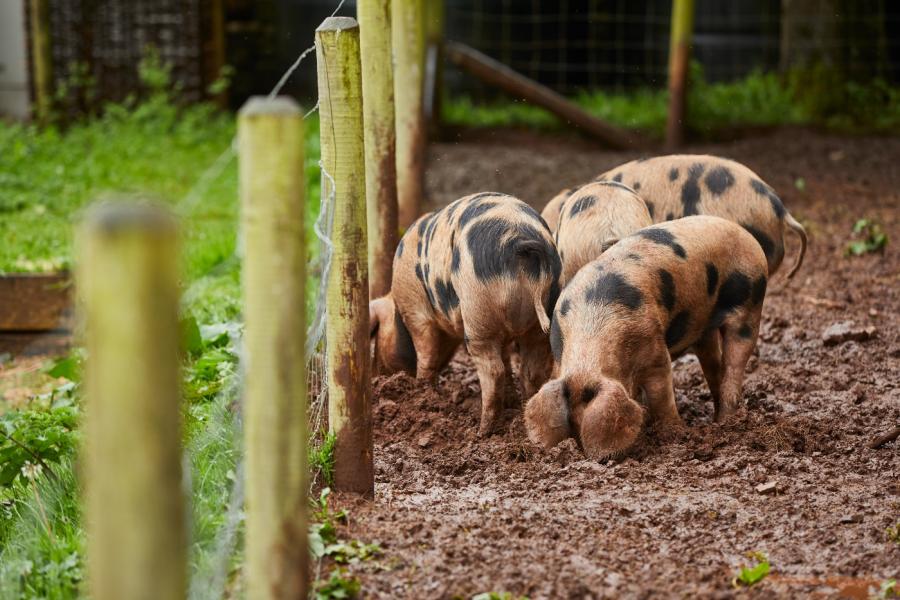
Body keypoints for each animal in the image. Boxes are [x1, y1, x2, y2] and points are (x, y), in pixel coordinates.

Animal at [370, 192, 561, 435]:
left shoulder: (416, 311)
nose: (377, 374)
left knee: (493, 370)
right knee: (530, 369)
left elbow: (426, 354)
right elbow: (507, 357)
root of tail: (520, 242)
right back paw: (524, 413)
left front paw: (423, 391)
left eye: (376, 336)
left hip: (477, 311)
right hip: (540, 316)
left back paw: (482, 430)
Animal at [524, 216, 768, 460]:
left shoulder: (656, 350)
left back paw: (725, 422)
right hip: (702, 326)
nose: (584, 455)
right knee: (714, 365)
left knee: (735, 363)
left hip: (750, 304)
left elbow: (662, 396)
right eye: (573, 427)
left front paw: (677, 432)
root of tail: (744, 234)